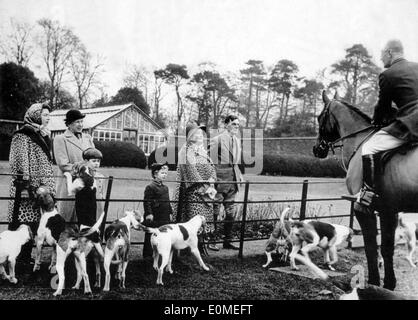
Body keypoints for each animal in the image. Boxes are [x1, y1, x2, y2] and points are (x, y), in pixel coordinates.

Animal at [312, 90, 418, 290]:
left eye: (319, 117)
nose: (317, 149)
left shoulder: (362, 208)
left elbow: (371, 247)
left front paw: (374, 283)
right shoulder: (388, 210)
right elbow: (387, 247)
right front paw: (389, 284)